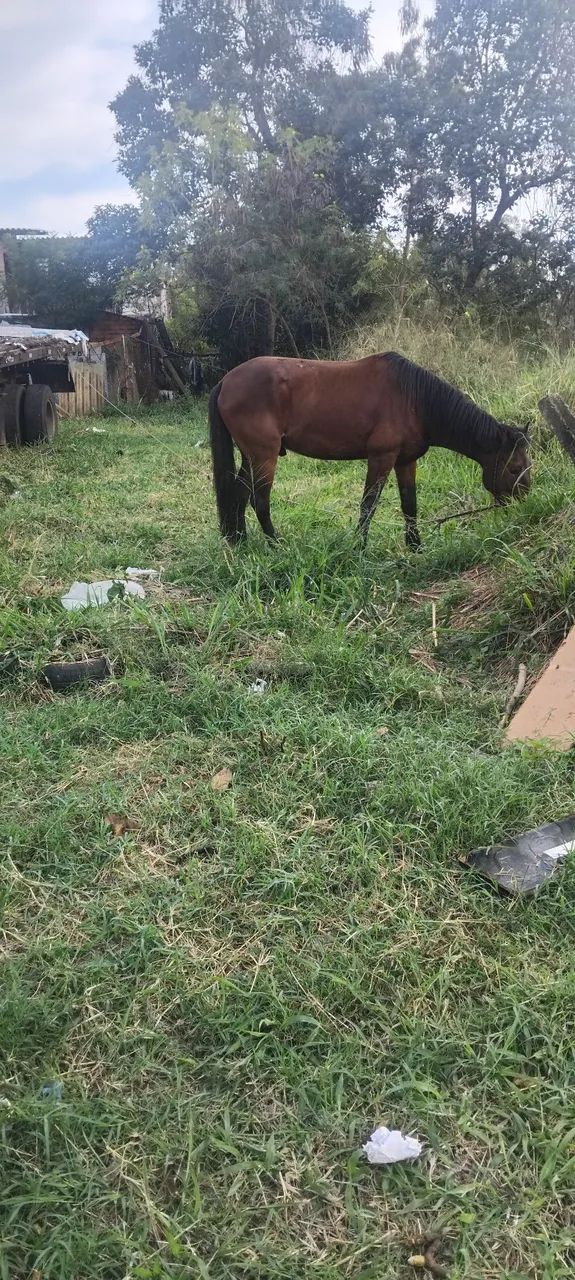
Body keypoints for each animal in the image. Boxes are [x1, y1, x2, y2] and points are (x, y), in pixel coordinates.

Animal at [208, 352, 531, 548]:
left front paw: (416, 546)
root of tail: (226, 381)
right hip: (264, 456)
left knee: (239, 492)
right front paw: (359, 547)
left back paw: (240, 541)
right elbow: (369, 505)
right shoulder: (381, 458)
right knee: (259, 500)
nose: (524, 506)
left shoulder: (406, 461)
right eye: (515, 468)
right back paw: (276, 545)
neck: (414, 400)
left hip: (251, 456)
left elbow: (409, 504)